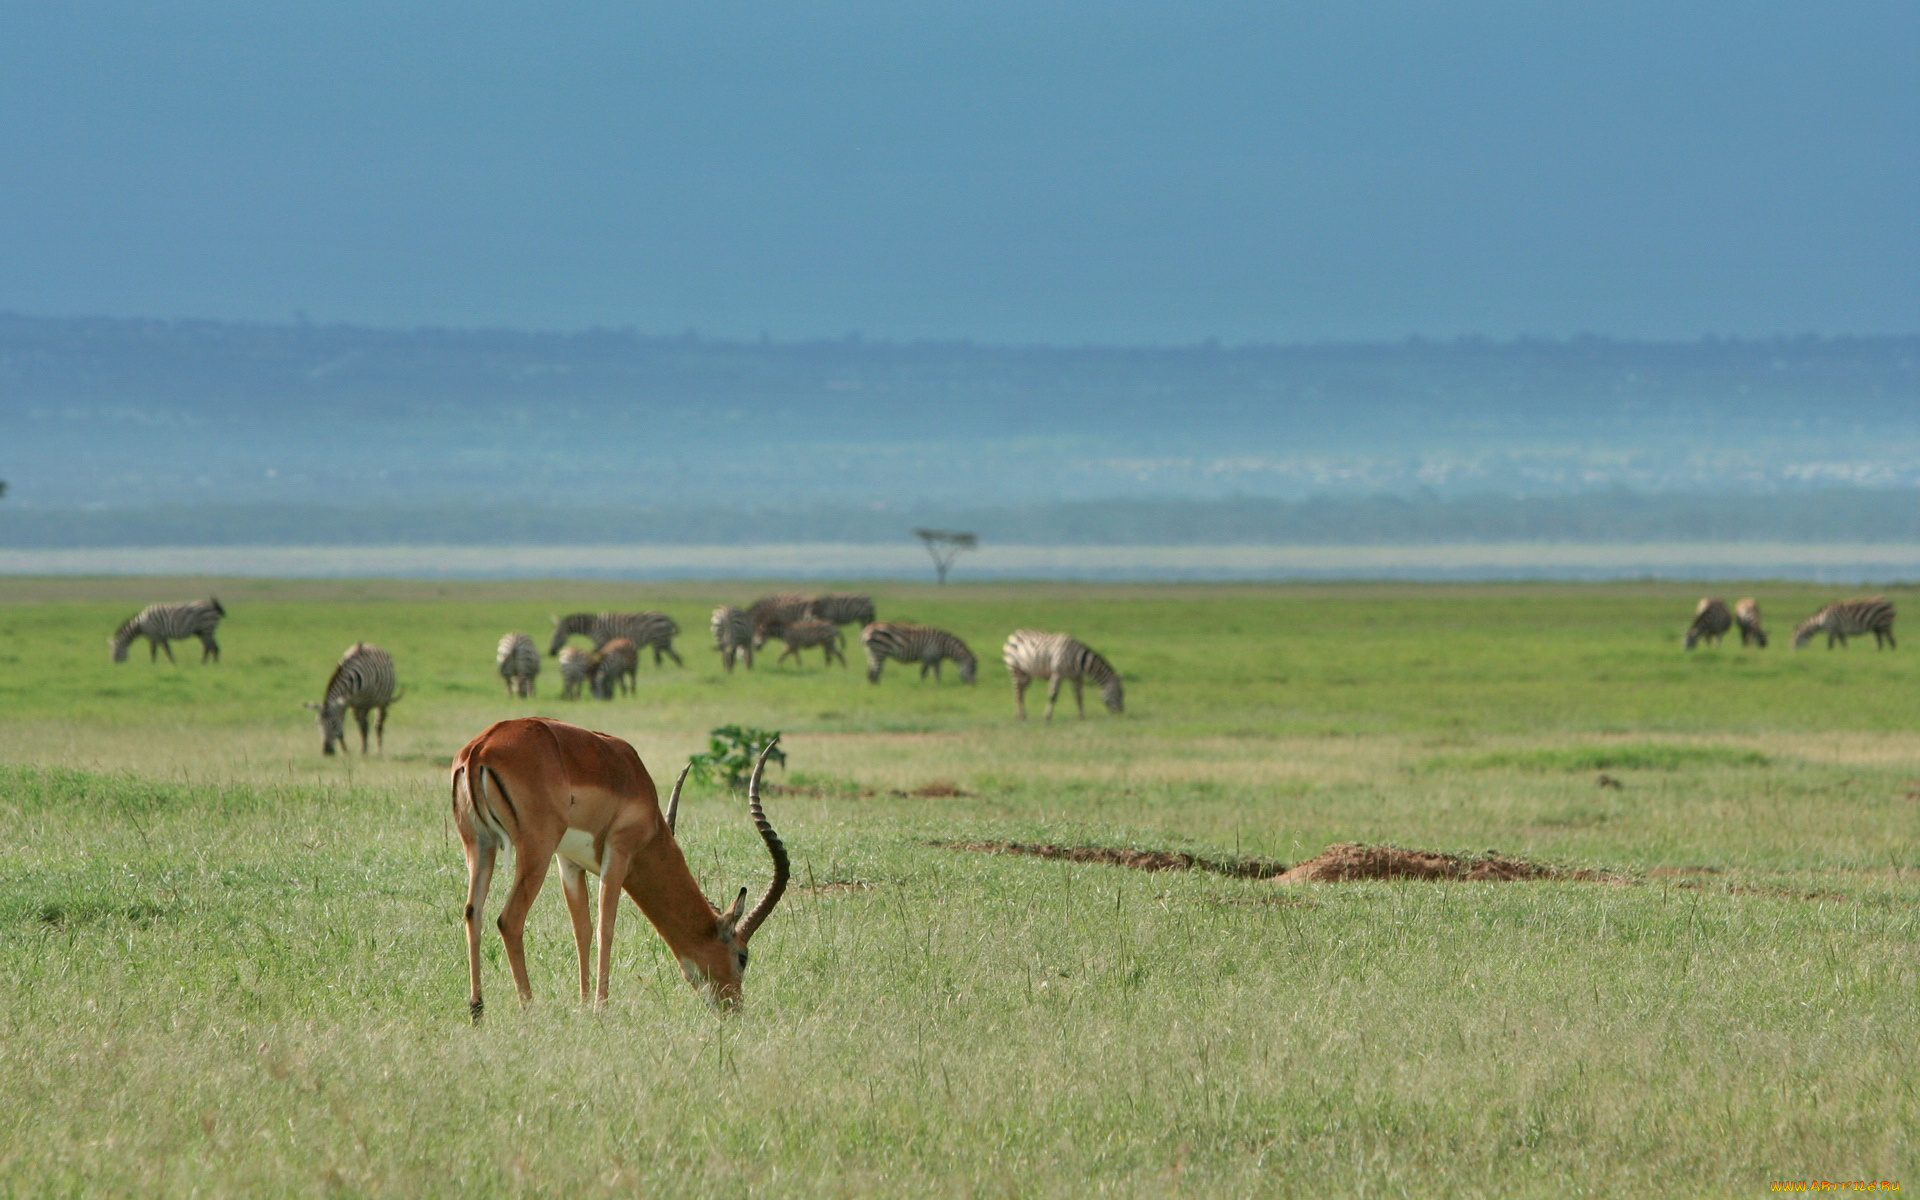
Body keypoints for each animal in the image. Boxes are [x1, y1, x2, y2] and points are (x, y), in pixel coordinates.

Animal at [549, 606, 683, 664]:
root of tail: (667, 618)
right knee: (676, 657)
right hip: (665, 640)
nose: (551, 653)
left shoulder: (600, 640)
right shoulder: (601, 642)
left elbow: (594, 654)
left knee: (659, 659)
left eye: (555, 636)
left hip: (657, 640)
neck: (591, 626)